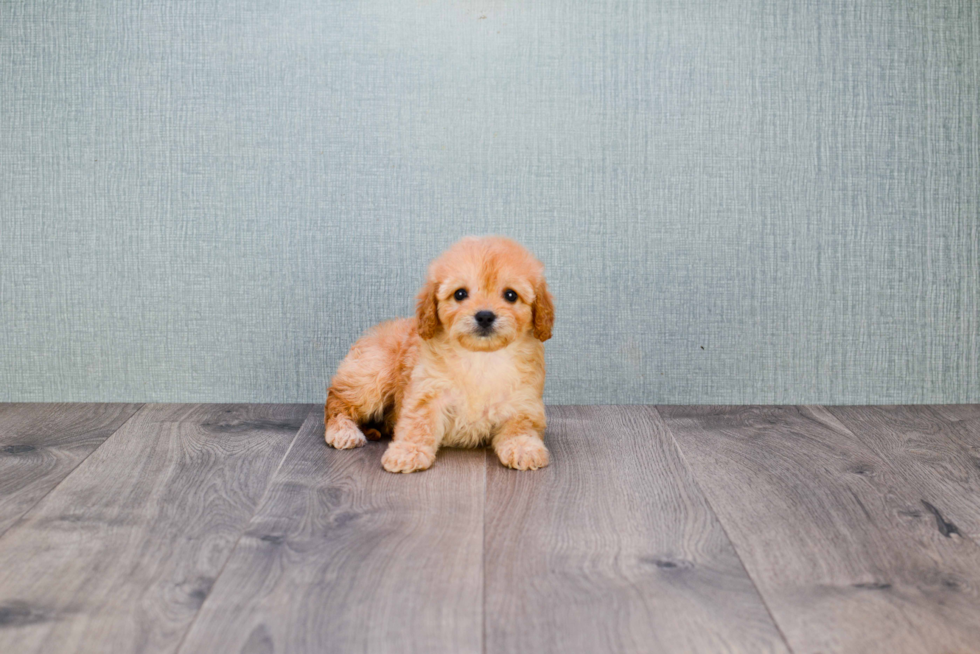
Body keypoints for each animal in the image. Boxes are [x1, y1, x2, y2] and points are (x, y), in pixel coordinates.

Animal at [328, 238, 552, 474]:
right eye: (460, 294)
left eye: (511, 295)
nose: (484, 316)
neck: (480, 357)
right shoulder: (427, 391)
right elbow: (418, 423)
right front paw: (408, 451)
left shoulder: (523, 401)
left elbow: (521, 426)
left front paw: (524, 448)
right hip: (371, 374)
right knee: (337, 401)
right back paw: (343, 431)